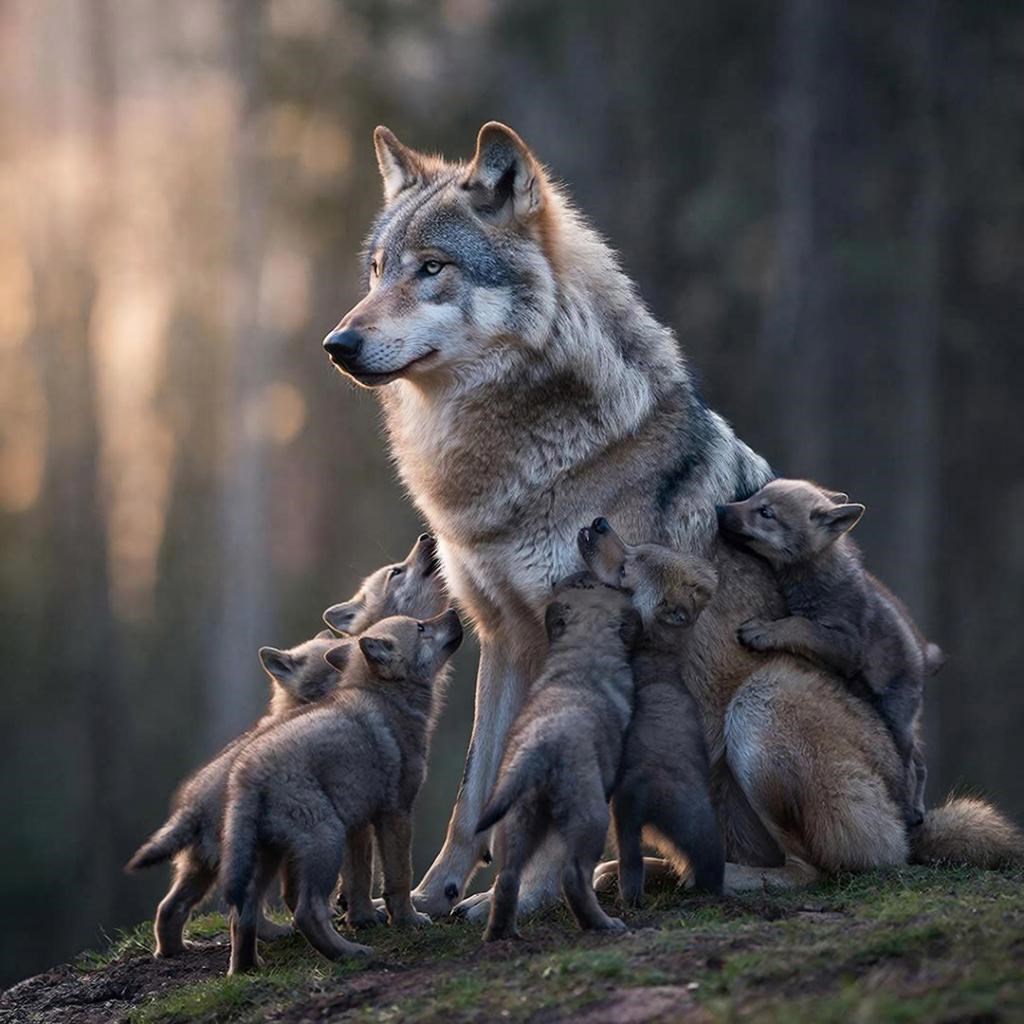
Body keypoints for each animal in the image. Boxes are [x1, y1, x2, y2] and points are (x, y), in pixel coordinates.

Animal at [221, 610, 462, 973]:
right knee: (306, 911)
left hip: (270, 854)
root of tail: (248, 774)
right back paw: (350, 953)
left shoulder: (362, 822)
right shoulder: (395, 813)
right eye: (421, 627)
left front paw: (366, 918)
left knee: (244, 913)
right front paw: (408, 920)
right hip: (325, 840)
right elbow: (398, 877)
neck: (387, 699)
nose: (454, 612)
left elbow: (362, 877)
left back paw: (247, 969)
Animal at [475, 573, 639, 940]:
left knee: (508, 878)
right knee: (574, 876)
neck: (583, 654)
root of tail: (539, 747)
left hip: (518, 819)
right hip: (589, 817)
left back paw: (500, 934)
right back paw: (603, 924)